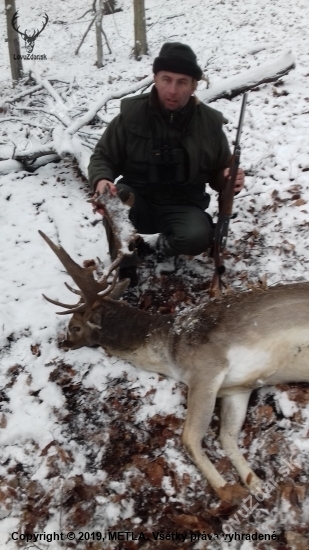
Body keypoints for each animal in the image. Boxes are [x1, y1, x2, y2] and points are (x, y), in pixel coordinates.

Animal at [38, 193, 308, 504]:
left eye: (74, 326)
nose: (63, 342)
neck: (169, 348)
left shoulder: (206, 367)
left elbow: (189, 437)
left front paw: (225, 489)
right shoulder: (238, 388)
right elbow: (226, 436)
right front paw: (256, 485)